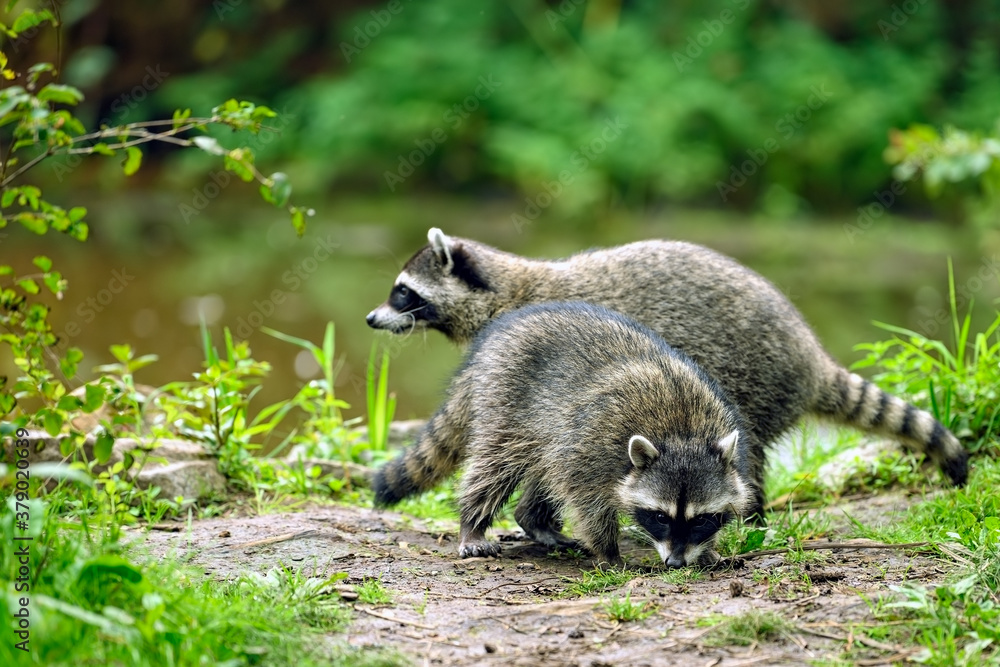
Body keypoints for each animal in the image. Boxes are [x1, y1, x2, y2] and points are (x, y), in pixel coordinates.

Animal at [368, 230, 968, 506]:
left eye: (403, 292)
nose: (372, 319)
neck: (505, 290)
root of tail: (808, 355)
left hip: (746, 382)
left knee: (742, 450)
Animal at [378, 302, 752, 568]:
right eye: (660, 516)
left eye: (702, 519)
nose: (675, 563)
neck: (681, 432)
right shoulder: (595, 442)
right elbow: (586, 501)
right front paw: (608, 551)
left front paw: (705, 550)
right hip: (507, 401)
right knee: (495, 465)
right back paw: (474, 521)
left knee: (544, 468)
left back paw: (533, 518)